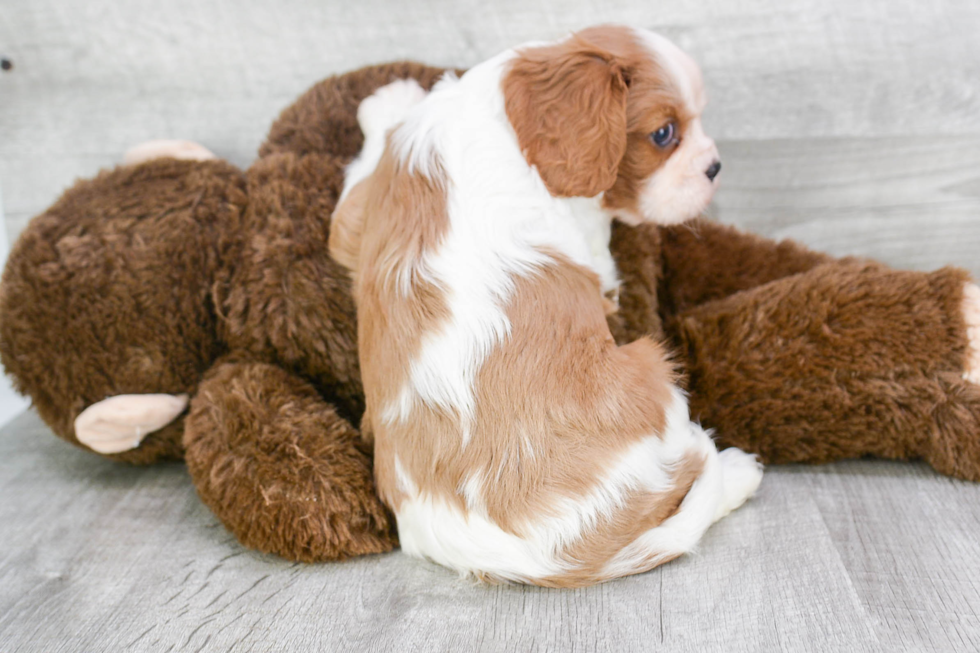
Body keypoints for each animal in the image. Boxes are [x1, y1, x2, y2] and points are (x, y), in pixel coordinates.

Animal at [334, 24, 760, 584]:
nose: (715, 165)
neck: (499, 117)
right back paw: (739, 471)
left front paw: (388, 101)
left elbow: (359, 171)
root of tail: (557, 560)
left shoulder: (363, 208)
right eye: (664, 134)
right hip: (652, 371)